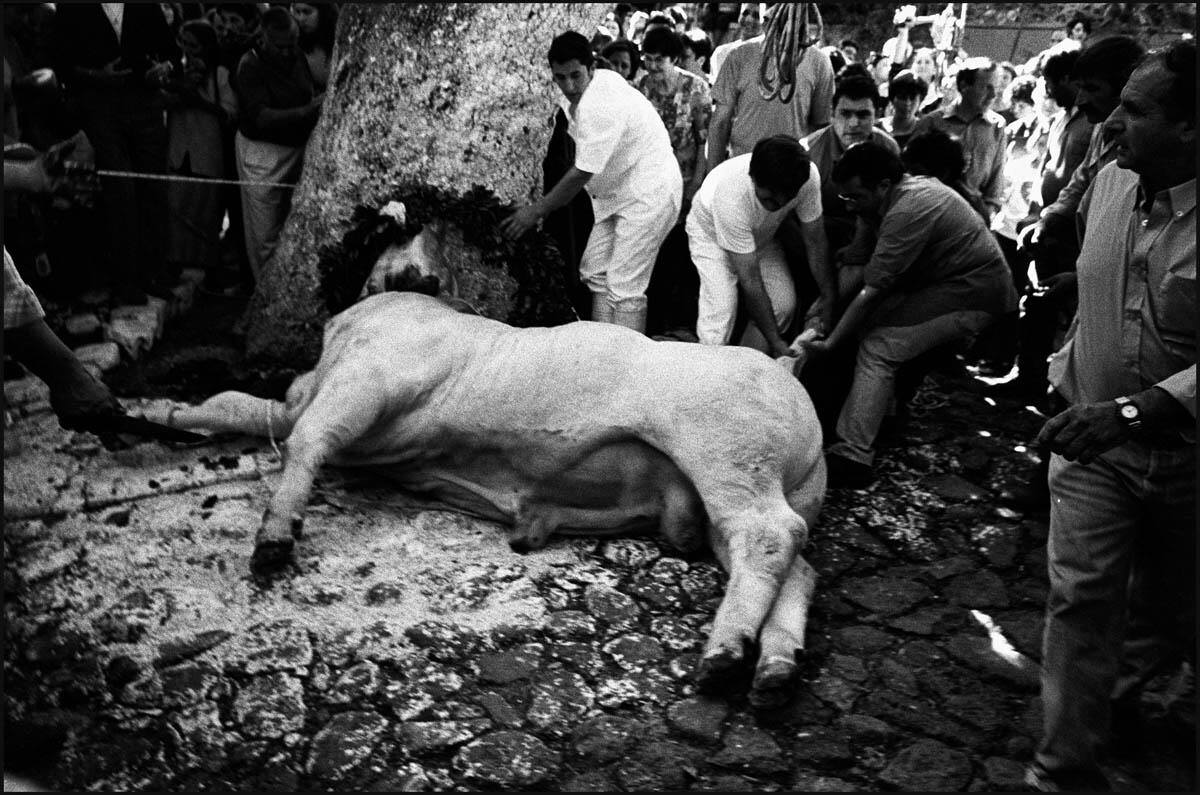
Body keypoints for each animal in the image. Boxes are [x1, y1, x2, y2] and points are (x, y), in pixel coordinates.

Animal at [157, 295, 825, 706]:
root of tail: (787, 372)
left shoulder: (370, 379)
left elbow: (305, 437)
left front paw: (274, 539)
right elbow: (235, 406)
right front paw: (156, 410)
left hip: (726, 452)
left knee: (770, 534)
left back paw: (723, 655)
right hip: (742, 493)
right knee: (797, 565)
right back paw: (773, 670)